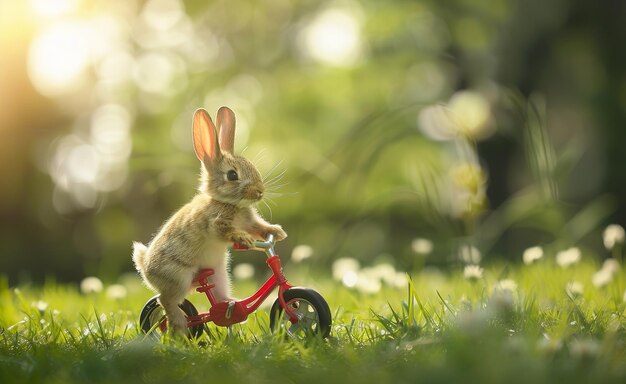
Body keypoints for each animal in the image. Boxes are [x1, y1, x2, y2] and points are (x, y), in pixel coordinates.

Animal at [133, 106, 288, 334]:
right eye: (232, 175)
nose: (260, 191)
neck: (228, 203)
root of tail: (144, 267)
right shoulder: (216, 223)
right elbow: (226, 231)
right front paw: (244, 239)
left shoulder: (250, 222)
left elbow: (260, 227)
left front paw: (277, 232)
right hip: (178, 278)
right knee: (165, 301)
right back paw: (177, 327)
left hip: (217, 275)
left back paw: (231, 312)